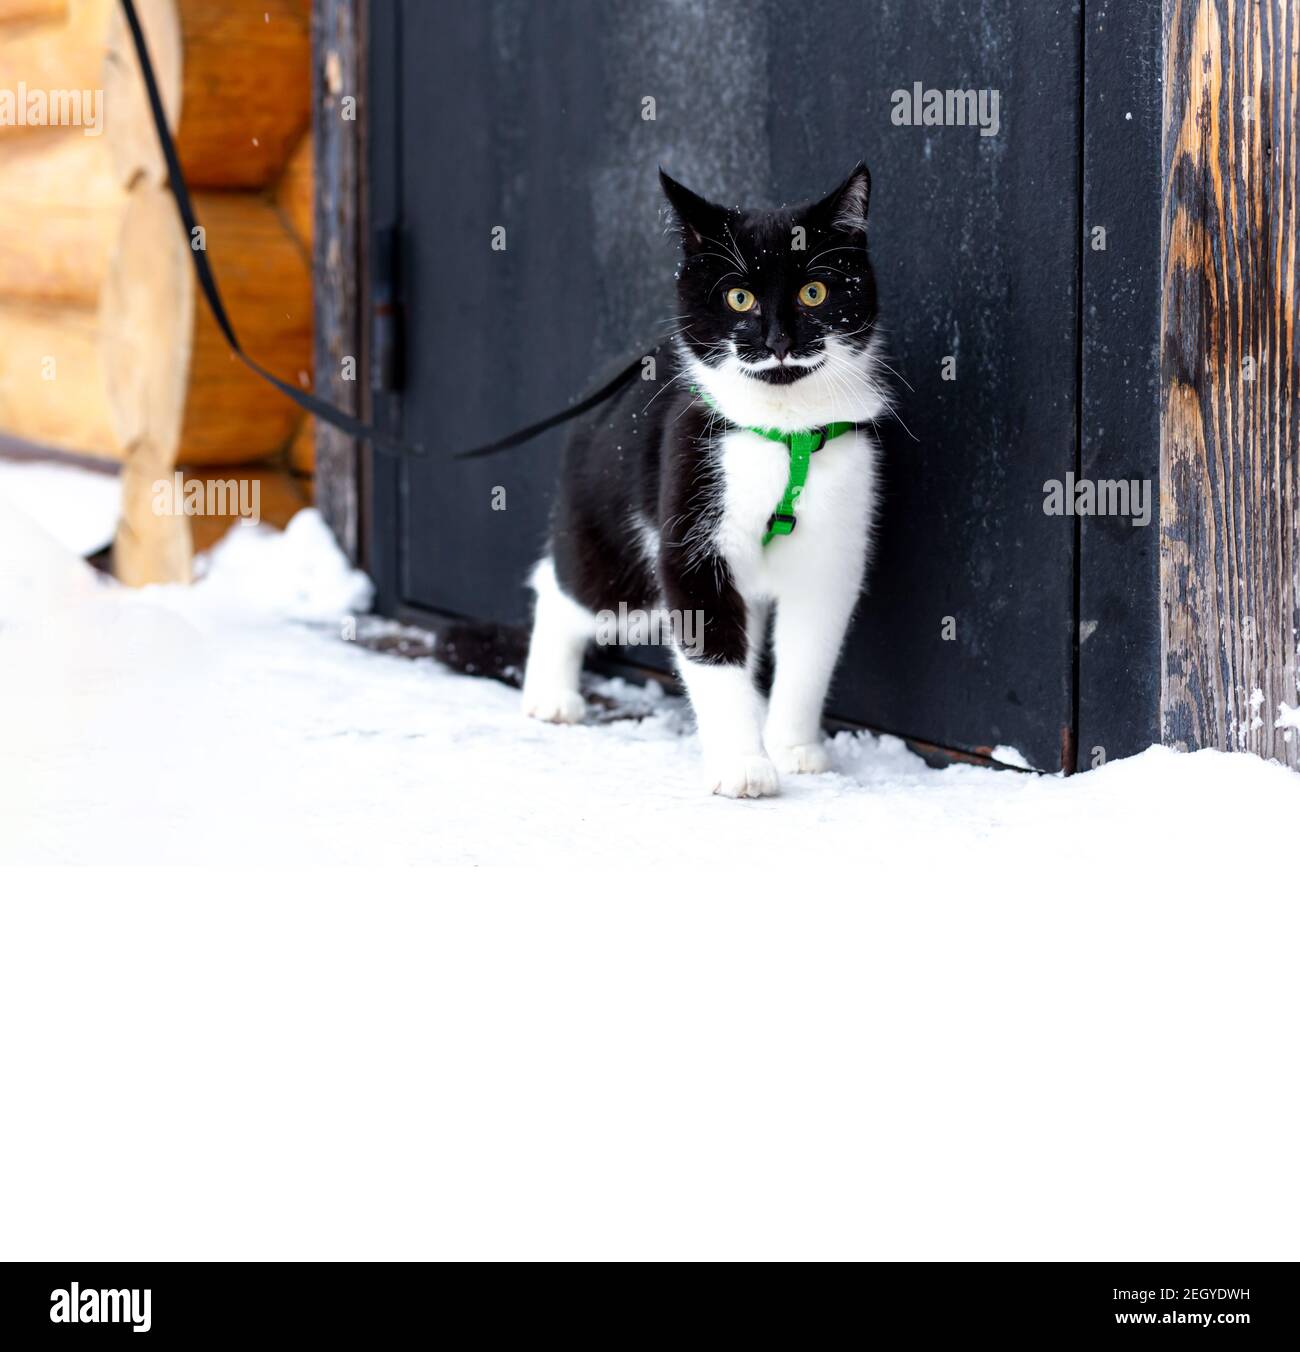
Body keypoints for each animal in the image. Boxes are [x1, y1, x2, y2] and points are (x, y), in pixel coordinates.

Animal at [521, 163, 886, 794]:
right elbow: (709, 646)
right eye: (739, 297)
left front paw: (793, 747)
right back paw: (551, 694)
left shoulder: (833, 543)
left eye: (814, 291)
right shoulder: (692, 497)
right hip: (620, 552)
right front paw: (743, 765)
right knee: (565, 583)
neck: (782, 430)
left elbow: (809, 651)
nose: (778, 341)